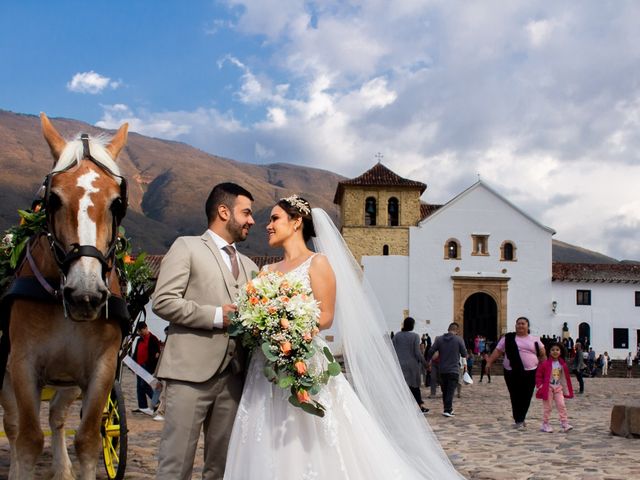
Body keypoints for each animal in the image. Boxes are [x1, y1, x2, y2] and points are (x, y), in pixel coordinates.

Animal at [0, 113, 131, 480]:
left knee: (57, 418)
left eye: (117, 203)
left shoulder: (101, 368)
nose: (85, 295)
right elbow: (28, 439)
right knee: (13, 425)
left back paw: (62, 467)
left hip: (67, 381)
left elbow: (87, 440)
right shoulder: (23, 364)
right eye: (54, 199)